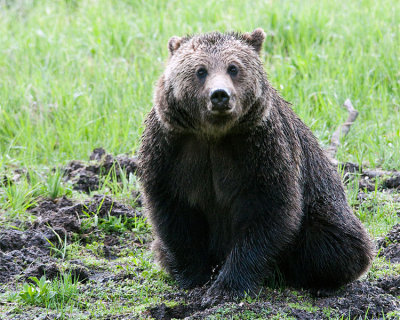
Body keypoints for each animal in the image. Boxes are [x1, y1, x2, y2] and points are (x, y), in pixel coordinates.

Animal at [138, 28, 376, 302]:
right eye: (200, 70)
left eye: (233, 67)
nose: (220, 95)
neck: (214, 135)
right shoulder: (169, 151)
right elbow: (173, 213)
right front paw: (195, 277)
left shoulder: (263, 151)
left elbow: (271, 210)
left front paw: (227, 286)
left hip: (323, 205)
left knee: (336, 243)